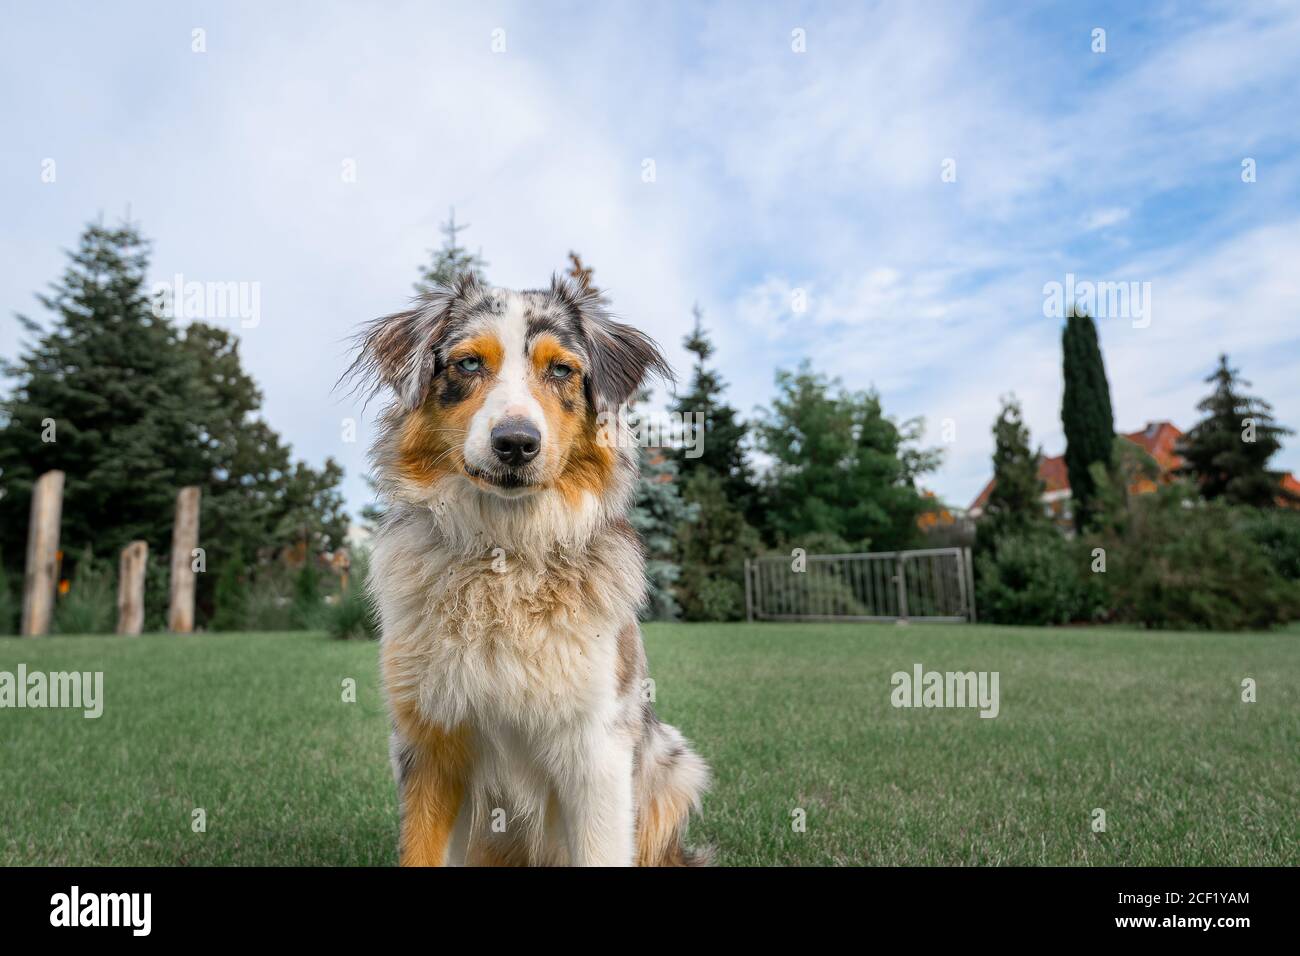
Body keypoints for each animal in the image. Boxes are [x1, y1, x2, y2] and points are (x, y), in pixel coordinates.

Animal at [345, 270, 712, 868]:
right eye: (469, 363)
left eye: (561, 369)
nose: (515, 443)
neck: (505, 557)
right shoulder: (429, 742)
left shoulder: (598, 745)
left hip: (674, 762)